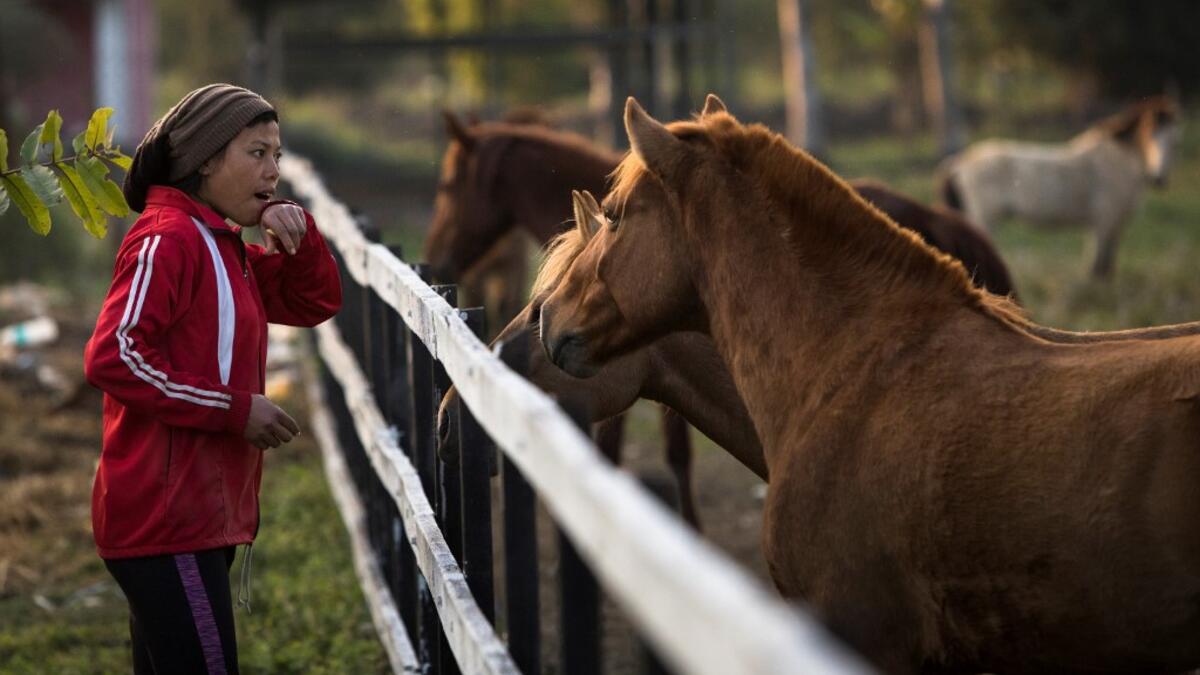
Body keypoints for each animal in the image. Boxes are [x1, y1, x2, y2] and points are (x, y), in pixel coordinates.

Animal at [941, 95, 1182, 279]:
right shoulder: (1104, 221)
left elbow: (1108, 264)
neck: (1118, 162)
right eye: (1149, 135)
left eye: (1174, 141)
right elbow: (1098, 266)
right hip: (985, 219)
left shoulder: (1115, 224)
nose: (1159, 178)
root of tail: (960, 161)